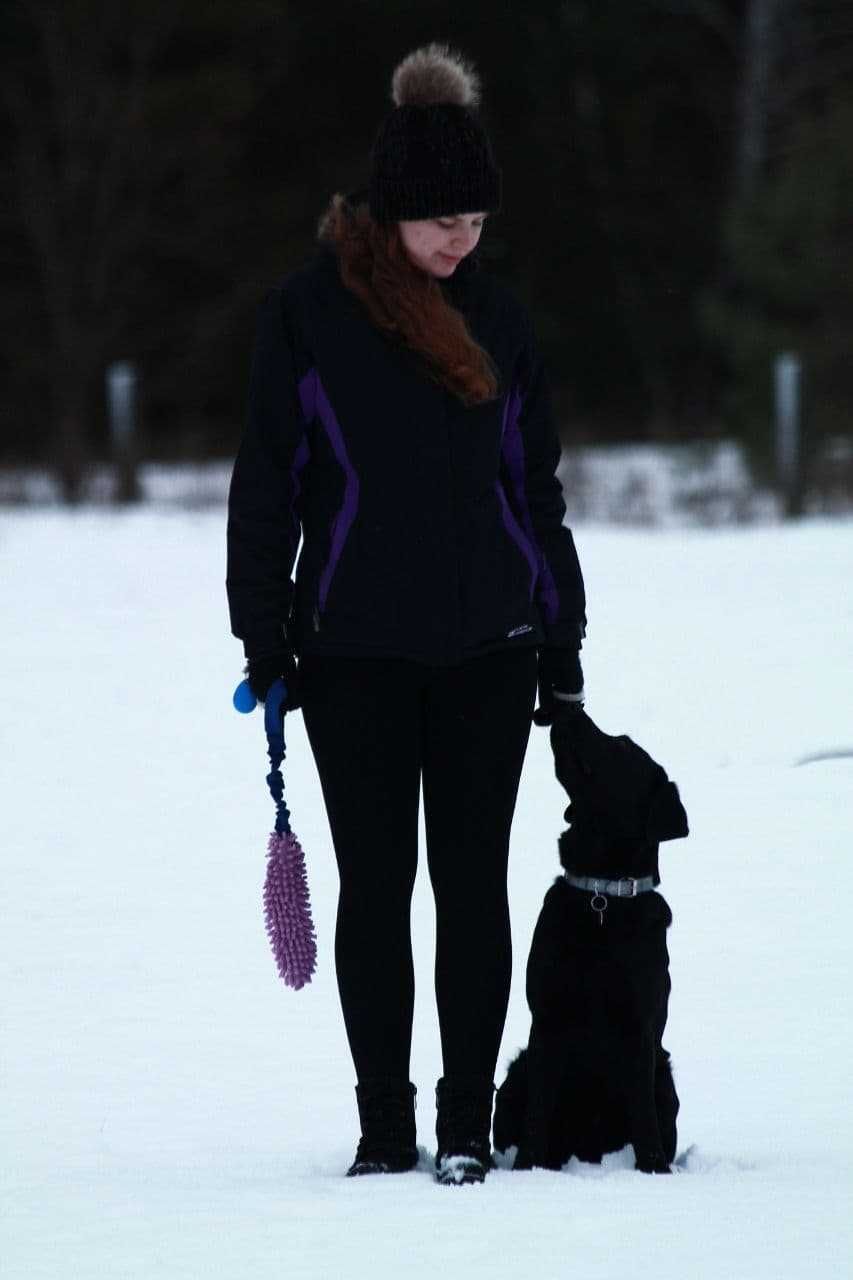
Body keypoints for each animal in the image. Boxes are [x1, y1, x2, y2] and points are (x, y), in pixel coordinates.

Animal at [491, 716, 686, 1172]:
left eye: (624, 745)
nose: (572, 713)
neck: (601, 896)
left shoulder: (639, 1025)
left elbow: (644, 1116)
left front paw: (653, 1169)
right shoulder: (548, 1017)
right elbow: (538, 1111)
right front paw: (527, 1167)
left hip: (665, 1075)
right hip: (516, 1073)